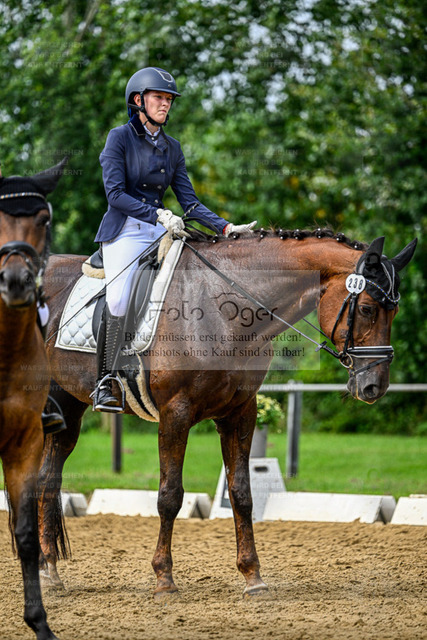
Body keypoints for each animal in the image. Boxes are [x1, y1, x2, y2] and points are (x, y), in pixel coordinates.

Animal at [38, 227, 416, 597]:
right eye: (366, 309)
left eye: (395, 313)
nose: (374, 387)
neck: (224, 309)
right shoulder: (176, 413)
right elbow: (169, 495)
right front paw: (164, 580)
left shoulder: (240, 413)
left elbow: (242, 493)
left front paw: (253, 577)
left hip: (67, 408)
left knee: (46, 479)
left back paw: (48, 571)